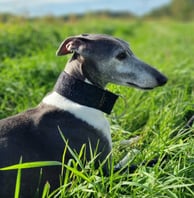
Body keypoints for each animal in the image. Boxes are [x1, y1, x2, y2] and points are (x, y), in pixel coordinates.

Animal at [0, 33, 167, 196]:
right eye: (121, 55)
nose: (163, 78)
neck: (78, 99)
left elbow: (119, 142)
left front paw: (139, 137)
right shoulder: (103, 173)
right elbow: (139, 158)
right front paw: (155, 152)